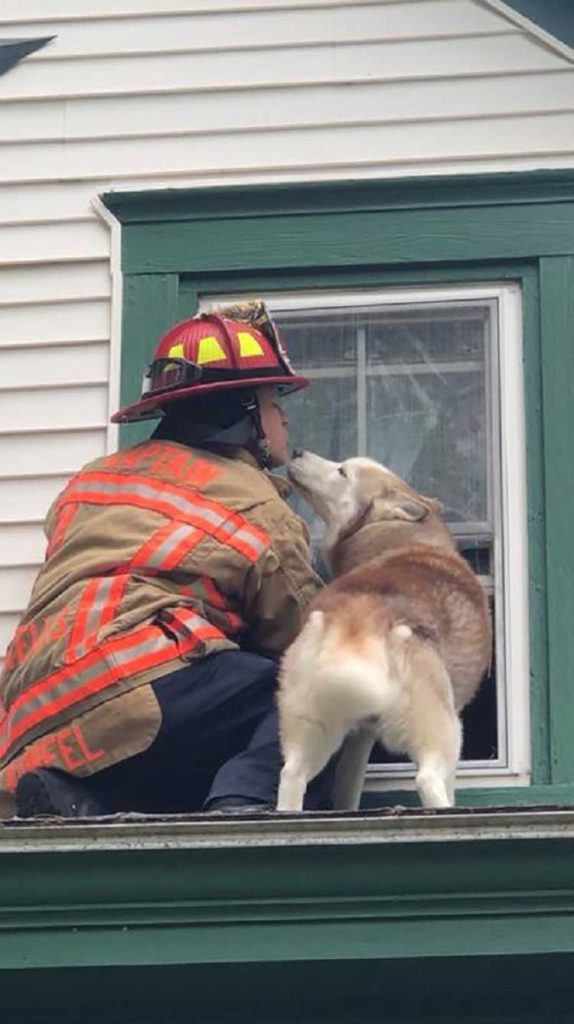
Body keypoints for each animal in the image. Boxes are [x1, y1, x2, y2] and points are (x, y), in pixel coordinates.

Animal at [276, 452, 491, 811]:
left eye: (341, 471)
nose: (296, 452)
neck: (401, 537)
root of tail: (358, 616)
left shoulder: (361, 736)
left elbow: (347, 789)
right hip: (443, 730)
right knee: (428, 780)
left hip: (311, 729)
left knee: (291, 776)